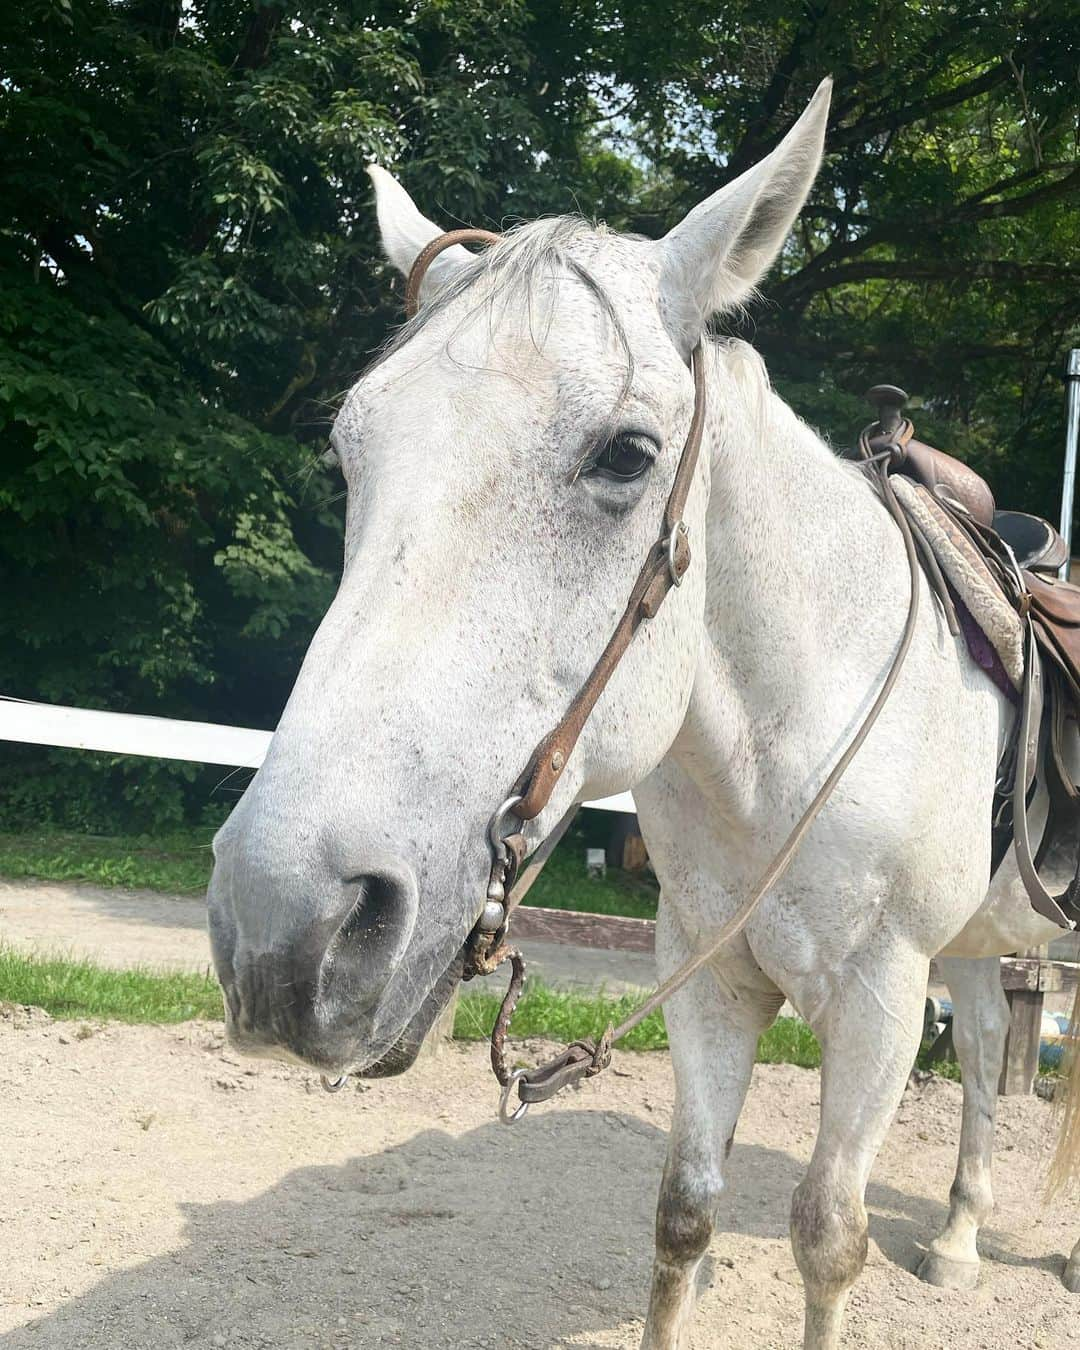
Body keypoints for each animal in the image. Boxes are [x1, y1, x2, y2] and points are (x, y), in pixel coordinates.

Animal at [206, 78, 1074, 1344]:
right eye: (347, 452)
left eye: (626, 454)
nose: (284, 924)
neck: (787, 749)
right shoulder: (707, 978)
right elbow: (683, 1216)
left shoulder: (877, 1000)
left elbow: (829, 1236)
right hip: (969, 942)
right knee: (990, 1043)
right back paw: (961, 1237)